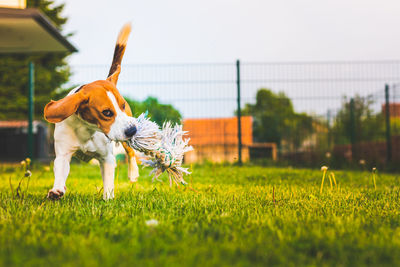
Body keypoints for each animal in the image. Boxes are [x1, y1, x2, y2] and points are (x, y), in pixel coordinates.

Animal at [44, 24, 139, 200]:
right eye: (106, 112)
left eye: (122, 105)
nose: (132, 130)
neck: (86, 129)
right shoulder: (63, 154)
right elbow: (60, 172)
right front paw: (57, 190)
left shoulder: (107, 158)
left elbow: (108, 182)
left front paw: (108, 199)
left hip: (126, 138)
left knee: (130, 152)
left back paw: (133, 173)